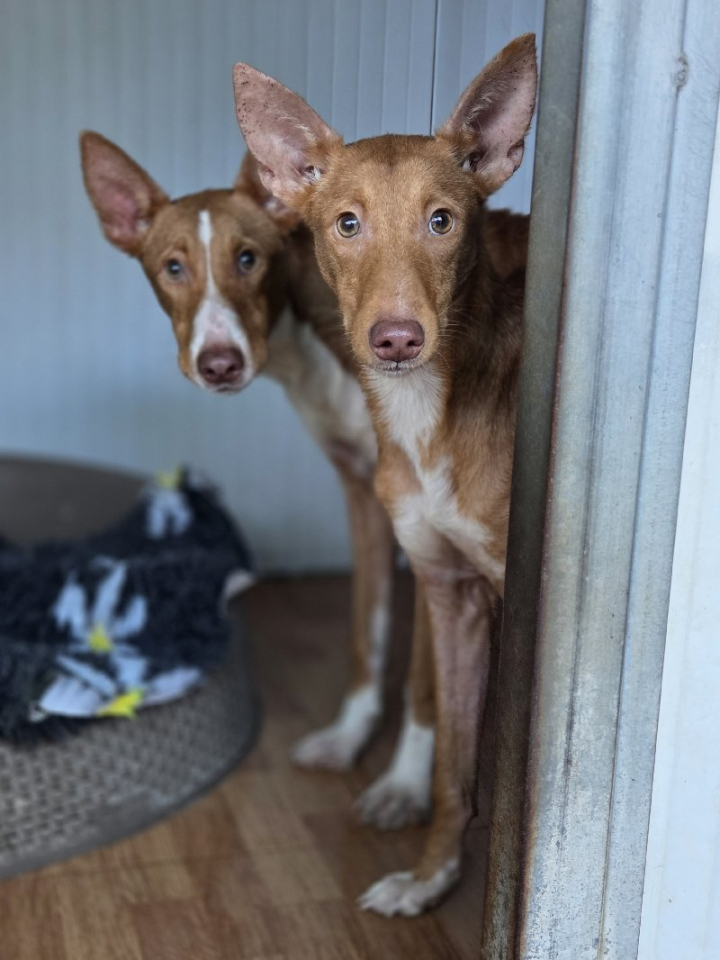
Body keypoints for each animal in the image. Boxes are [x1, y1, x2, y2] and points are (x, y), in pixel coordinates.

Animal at [80, 131, 529, 834]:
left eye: (249, 259)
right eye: (172, 268)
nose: (219, 362)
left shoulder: (429, 524)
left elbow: (424, 682)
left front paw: (403, 786)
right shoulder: (366, 494)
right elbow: (366, 633)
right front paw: (349, 738)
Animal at [234, 33, 538, 915]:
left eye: (442, 221)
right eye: (347, 224)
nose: (397, 339)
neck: (428, 416)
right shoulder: (449, 590)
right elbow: (452, 769)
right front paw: (430, 878)